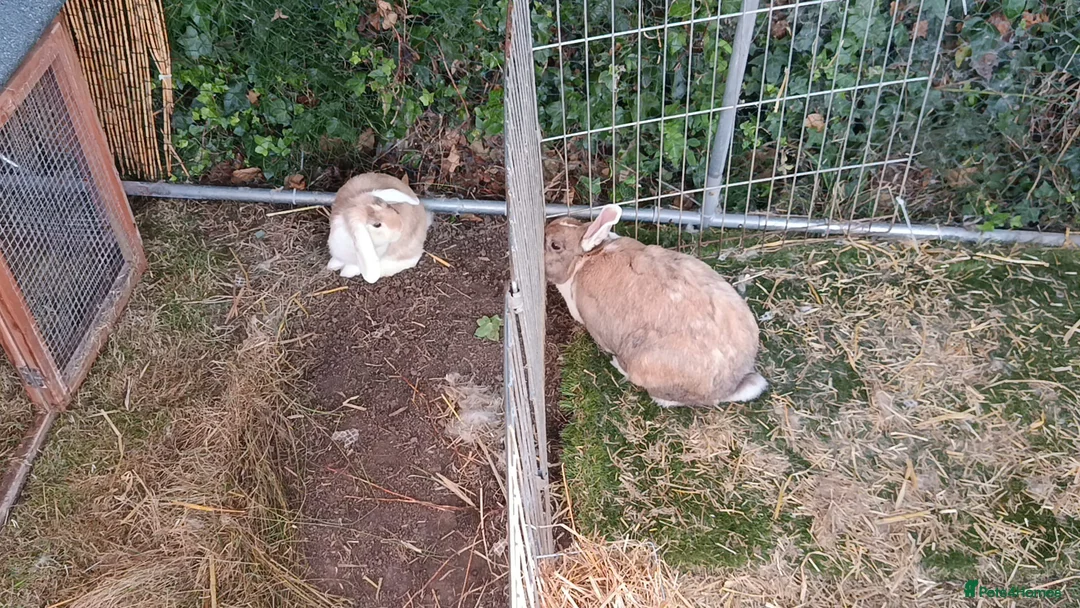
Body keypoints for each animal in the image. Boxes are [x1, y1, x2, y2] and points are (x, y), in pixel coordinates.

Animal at [544, 204, 767, 407]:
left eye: (555, 245)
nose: (545, 229)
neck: (586, 259)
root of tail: (731, 384)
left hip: (644, 364)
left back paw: (618, 364)